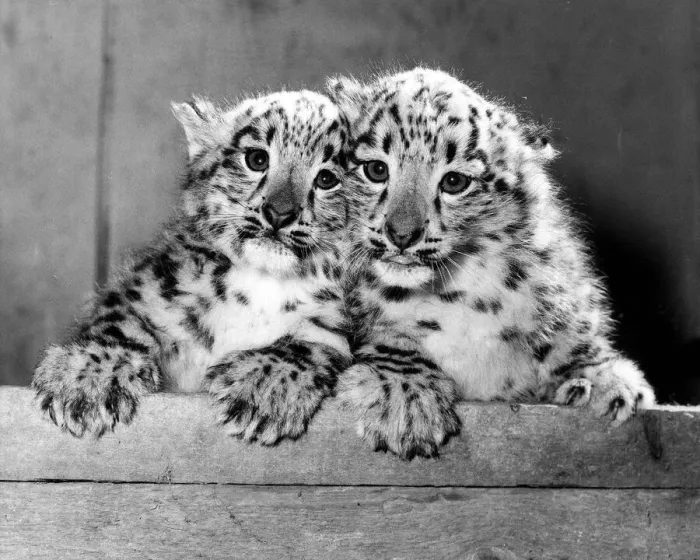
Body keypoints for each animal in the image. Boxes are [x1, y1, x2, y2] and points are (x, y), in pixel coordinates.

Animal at [32, 90, 352, 443]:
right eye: (256, 159)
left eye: (327, 178)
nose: (279, 213)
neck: (262, 284)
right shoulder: (148, 286)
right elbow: (118, 323)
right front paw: (85, 381)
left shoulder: (340, 323)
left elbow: (312, 344)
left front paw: (263, 388)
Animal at [327, 67, 656, 459]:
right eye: (376, 169)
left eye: (454, 181)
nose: (402, 234)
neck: (456, 293)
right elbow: (385, 336)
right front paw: (403, 398)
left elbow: (571, 330)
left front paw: (600, 380)